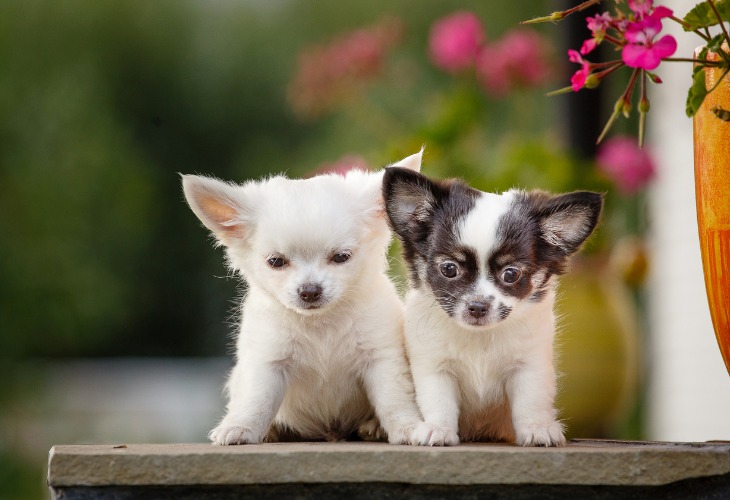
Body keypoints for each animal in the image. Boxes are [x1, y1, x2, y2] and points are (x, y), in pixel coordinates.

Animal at [182, 151, 440, 446]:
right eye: (276, 262)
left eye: (341, 257)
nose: (310, 291)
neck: (321, 324)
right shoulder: (267, 361)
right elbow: (256, 400)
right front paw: (240, 427)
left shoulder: (381, 358)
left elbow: (393, 399)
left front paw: (408, 428)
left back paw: (373, 427)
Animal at [384, 166, 600, 448]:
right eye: (449, 269)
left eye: (510, 274)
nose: (478, 306)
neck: (480, 339)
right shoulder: (434, 366)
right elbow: (439, 401)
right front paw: (437, 429)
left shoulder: (528, 366)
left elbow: (530, 401)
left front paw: (537, 429)